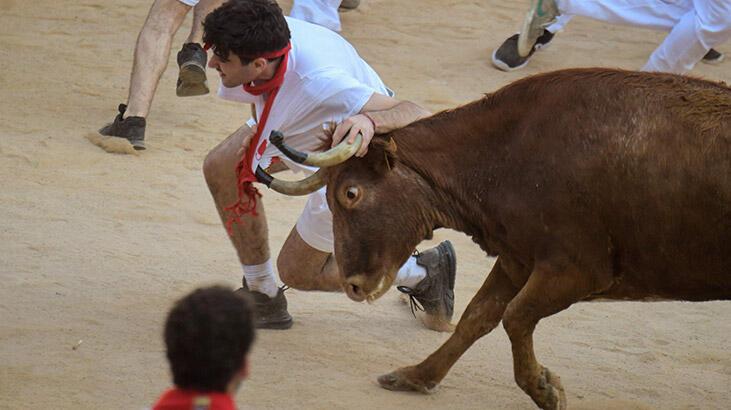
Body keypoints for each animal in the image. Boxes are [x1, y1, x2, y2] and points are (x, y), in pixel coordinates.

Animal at [260, 69, 728, 408]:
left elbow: (515, 315)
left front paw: (546, 389)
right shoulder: (518, 259)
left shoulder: (577, 270)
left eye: (350, 193)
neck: (506, 155)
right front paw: (417, 377)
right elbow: (478, 316)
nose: (353, 285)